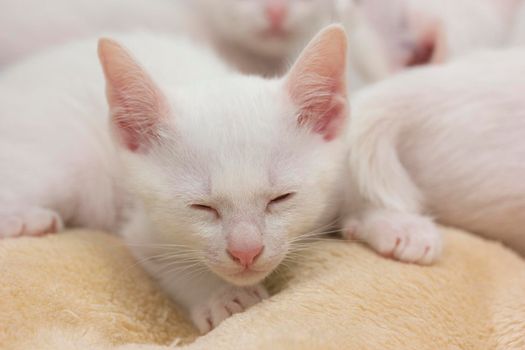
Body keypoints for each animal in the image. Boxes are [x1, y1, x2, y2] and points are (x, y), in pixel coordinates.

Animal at [0, 26, 350, 332]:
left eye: (281, 198)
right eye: (202, 207)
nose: (246, 251)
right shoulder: (141, 223)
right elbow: (173, 262)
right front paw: (222, 296)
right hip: (68, 161)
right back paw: (25, 221)